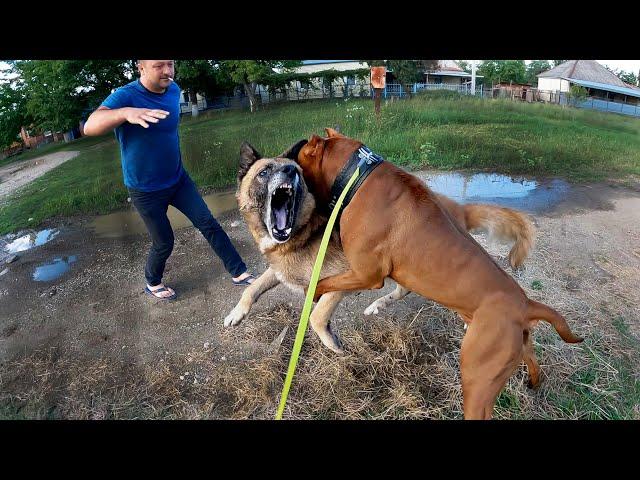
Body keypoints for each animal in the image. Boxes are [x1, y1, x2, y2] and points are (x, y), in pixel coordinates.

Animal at [224, 141, 536, 362]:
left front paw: (333, 344)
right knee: (404, 289)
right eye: (264, 171)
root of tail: (457, 209)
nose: (290, 171)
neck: (303, 231)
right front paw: (236, 313)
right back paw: (379, 304)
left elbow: (317, 314)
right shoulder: (280, 271)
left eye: (297, 172)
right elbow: (251, 289)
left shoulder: (339, 276)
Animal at [292, 128, 584, 420]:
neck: (357, 173)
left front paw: (312, 295)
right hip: (517, 347)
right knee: (534, 363)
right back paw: (534, 383)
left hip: (478, 378)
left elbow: (323, 281)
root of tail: (525, 304)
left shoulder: (367, 274)